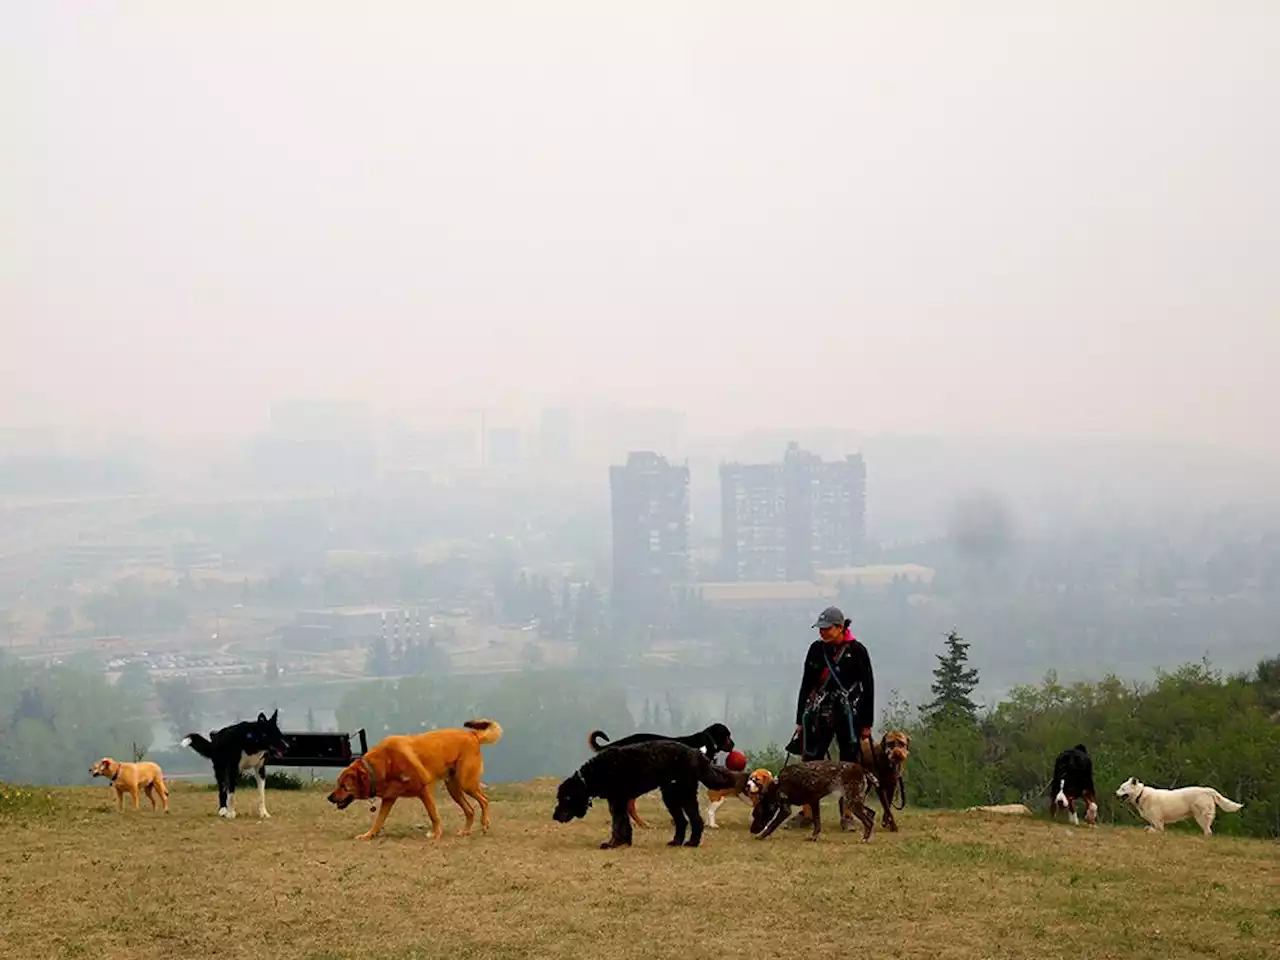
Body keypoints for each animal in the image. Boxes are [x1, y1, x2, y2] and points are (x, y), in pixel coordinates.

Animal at [327, 716, 501, 839]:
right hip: (453, 787)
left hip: (466, 783)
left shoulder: (424, 790)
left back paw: (484, 824)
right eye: (338, 783)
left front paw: (436, 834)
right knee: (470, 810)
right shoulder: (389, 798)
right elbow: (379, 820)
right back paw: (465, 831)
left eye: (343, 786)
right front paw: (368, 835)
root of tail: (472, 735)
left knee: (484, 800)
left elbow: (433, 814)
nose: (329, 798)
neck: (381, 765)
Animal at [555, 742, 747, 855]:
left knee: (695, 820)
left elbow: (617, 825)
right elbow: (624, 824)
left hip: (681, 794)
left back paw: (692, 842)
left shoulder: (617, 801)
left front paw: (612, 843)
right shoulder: (619, 801)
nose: (555, 816)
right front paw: (625, 842)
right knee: (684, 821)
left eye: (566, 798)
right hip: (672, 795)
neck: (594, 774)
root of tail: (698, 755)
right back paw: (677, 842)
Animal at [1116, 778, 1244, 839]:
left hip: (1201, 816)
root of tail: (1207, 790)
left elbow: (1153, 830)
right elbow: (1148, 827)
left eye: (1122, 789)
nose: (1115, 794)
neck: (1141, 794)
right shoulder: (1153, 822)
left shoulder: (1159, 824)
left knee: (1208, 831)